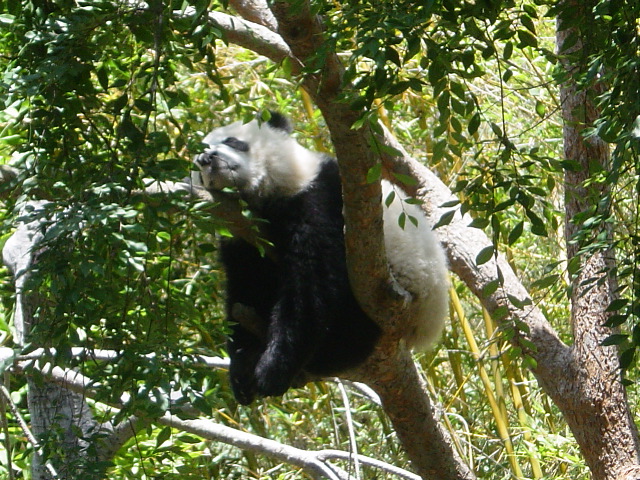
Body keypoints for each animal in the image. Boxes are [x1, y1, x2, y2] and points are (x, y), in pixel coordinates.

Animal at [192, 112, 448, 404]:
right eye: (197, 162)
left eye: (233, 141)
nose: (207, 158)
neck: (259, 199)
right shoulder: (239, 236)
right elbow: (246, 288)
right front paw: (243, 369)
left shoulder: (317, 196)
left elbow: (312, 282)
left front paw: (272, 370)